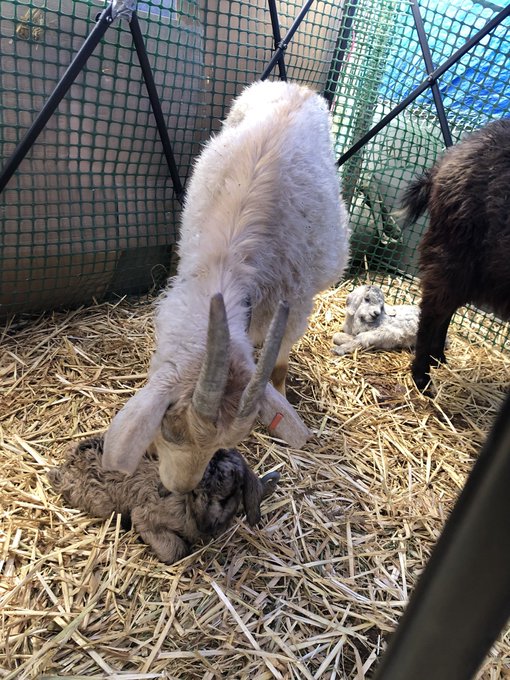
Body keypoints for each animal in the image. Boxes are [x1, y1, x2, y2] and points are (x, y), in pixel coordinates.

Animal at [102, 80, 350, 492]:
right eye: (169, 428)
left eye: (229, 443)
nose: (181, 488)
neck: (226, 263)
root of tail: (296, 86)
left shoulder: (297, 302)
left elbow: (279, 363)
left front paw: (280, 394)